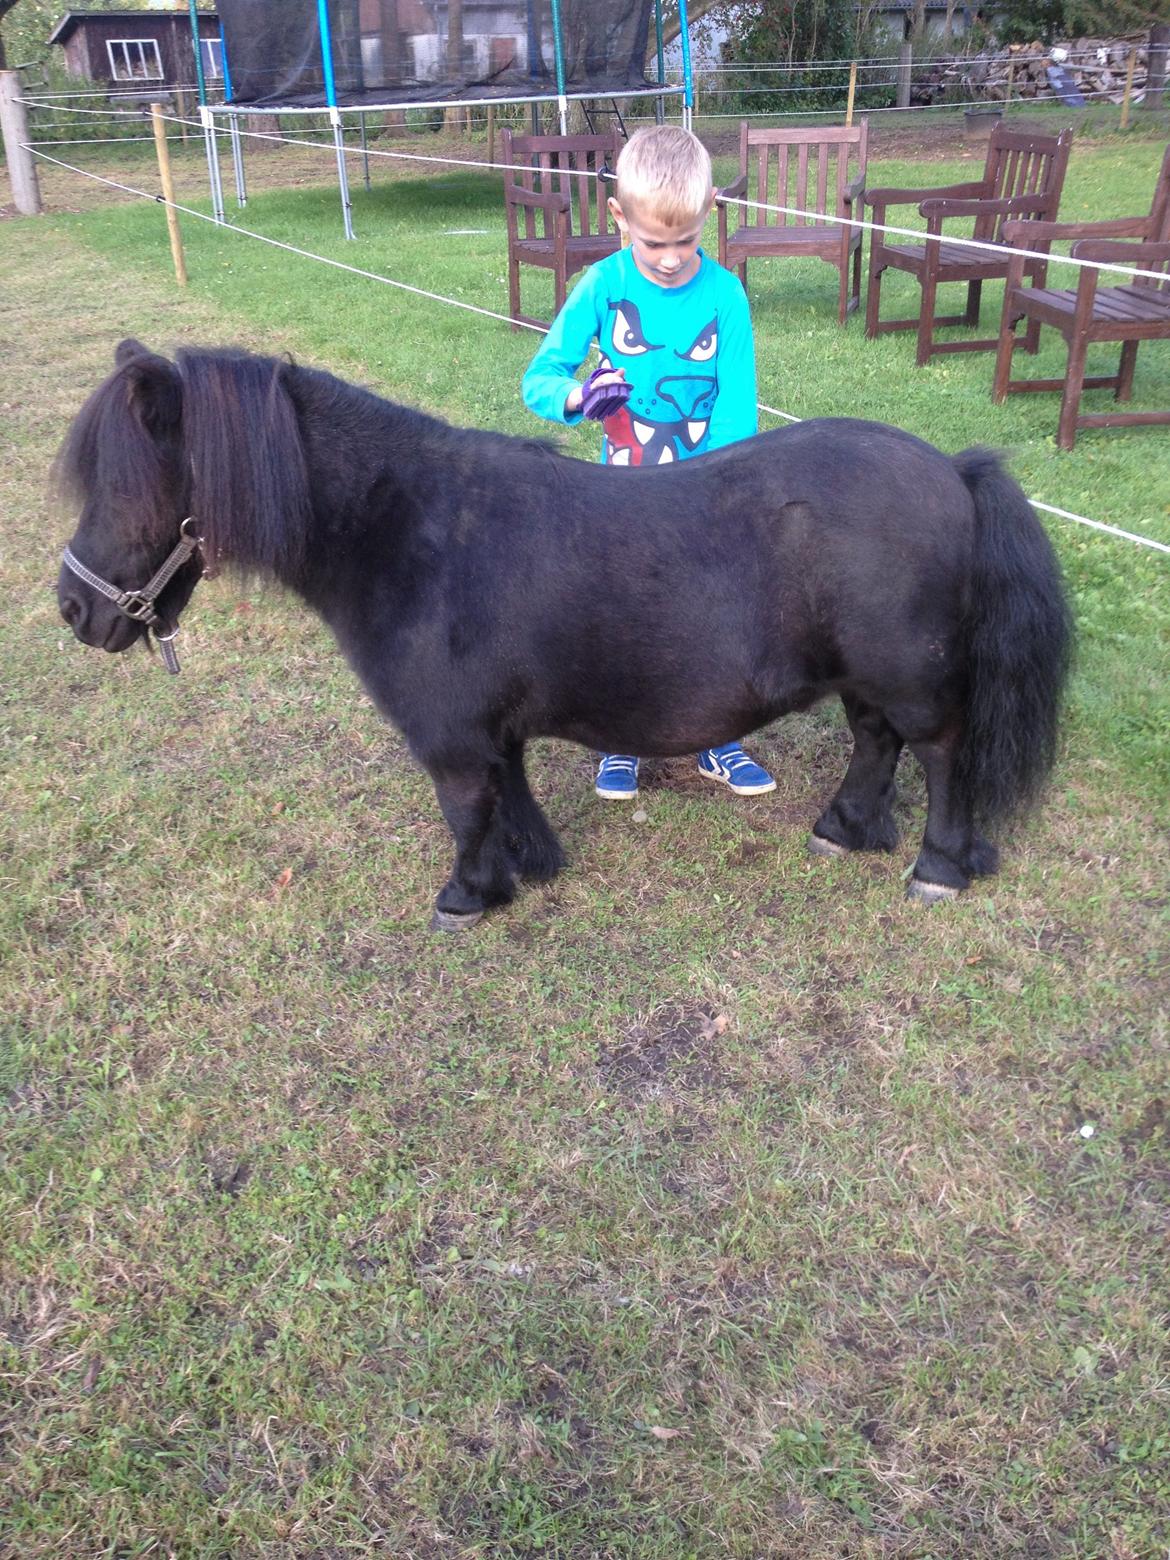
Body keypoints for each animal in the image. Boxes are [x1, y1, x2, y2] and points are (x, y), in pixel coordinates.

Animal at [56, 340, 1071, 928]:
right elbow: (509, 792)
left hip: (912, 677)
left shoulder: (448, 737)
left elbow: (465, 808)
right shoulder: (488, 728)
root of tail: (953, 468)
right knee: (874, 742)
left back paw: (937, 867)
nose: (74, 609)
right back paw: (845, 828)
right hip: (865, 677)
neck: (407, 529)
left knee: (939, 751)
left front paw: (468, 895)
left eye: (129, 487)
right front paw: (531, 867)